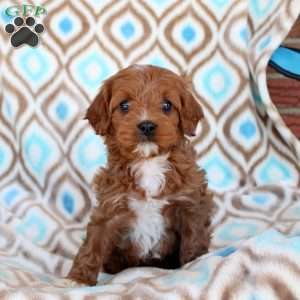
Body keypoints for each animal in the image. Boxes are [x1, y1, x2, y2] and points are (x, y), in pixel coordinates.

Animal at [67, 64, 213, 284]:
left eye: (167, 105)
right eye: (124, 105)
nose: (146, 125)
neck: (148, 162)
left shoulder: (190, 203)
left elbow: (194, 237)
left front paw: (194, 265)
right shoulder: (110, 206)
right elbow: (93, 243)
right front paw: (78, 278)